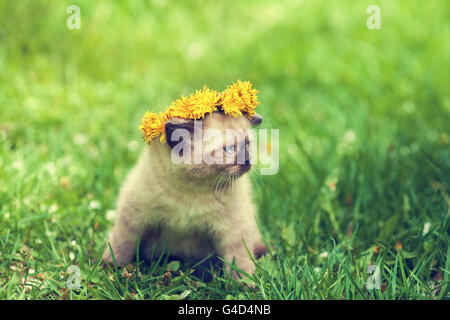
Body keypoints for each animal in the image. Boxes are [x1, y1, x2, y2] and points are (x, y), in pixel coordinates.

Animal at [102, 110, 268, 280]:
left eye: (247, 144)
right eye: (229, 149)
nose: (247, 161)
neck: (192, 190)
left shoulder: (234, 229)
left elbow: (239, 262)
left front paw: (244, 284)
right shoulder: (132, 218)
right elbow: (121, 245)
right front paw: (110, 269)